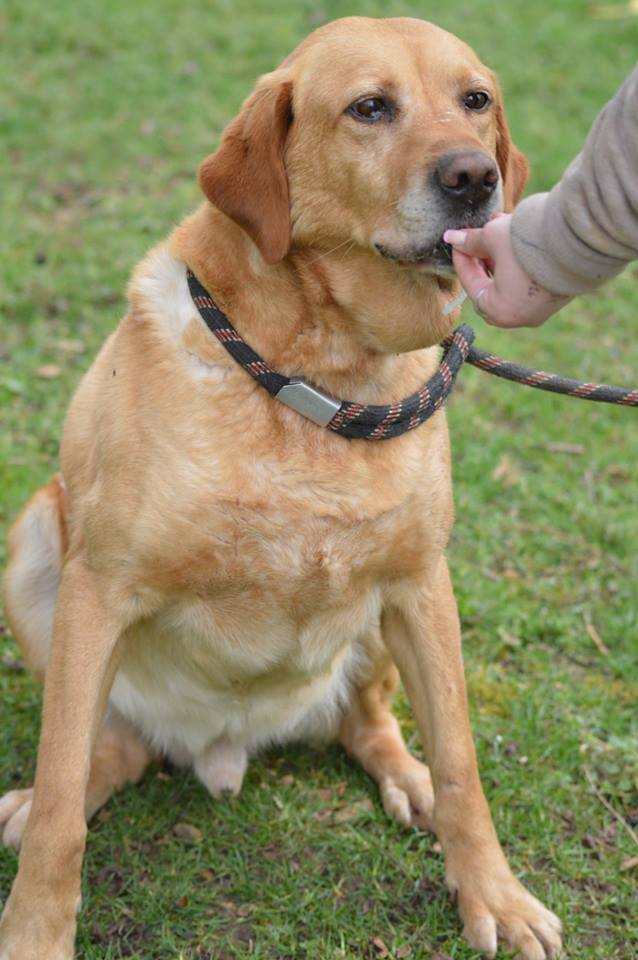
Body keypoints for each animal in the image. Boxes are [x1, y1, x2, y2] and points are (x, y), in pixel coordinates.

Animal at [0, 15, 564, 960]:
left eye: (475, 100)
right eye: (370, 108)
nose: (474, 178)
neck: (323, 369)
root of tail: (222, 747)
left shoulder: (420, 581)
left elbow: (461, 762)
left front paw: (495, 894)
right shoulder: (101, 587)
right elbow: (60, 814)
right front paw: (35, 933)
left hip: (386, 622)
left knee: (367, 722)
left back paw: (403, 776)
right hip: (40, 543)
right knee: (103, 755)